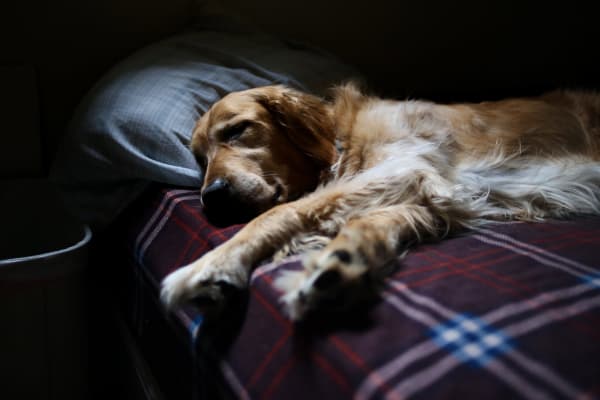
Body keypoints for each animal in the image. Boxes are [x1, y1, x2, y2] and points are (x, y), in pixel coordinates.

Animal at [159, 83, 600, 320]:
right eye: (199, 159)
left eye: (237, 130)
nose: (212, 198)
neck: (343, 143)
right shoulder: (434, 196)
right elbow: (369, 223)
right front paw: (342, 261)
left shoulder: (408, 165)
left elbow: (281, 213)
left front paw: (211, 266)